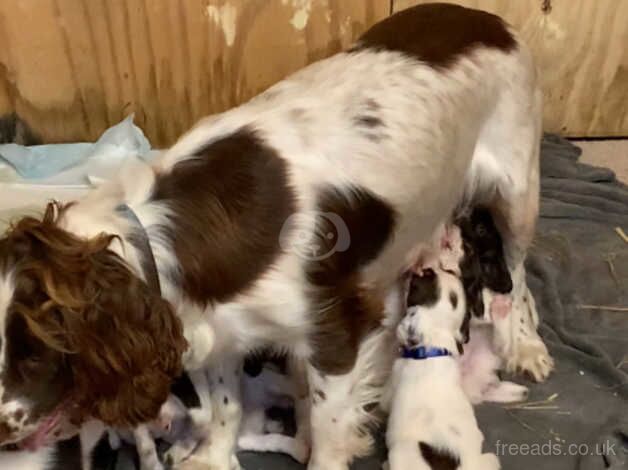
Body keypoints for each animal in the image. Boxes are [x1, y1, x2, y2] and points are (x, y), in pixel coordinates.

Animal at [382, 268, 500, 470]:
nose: (414, 270)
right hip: (490, 458)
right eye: (448, 270)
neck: (433, 347)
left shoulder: (392, 383)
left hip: (401, 453)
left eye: (420, 278)